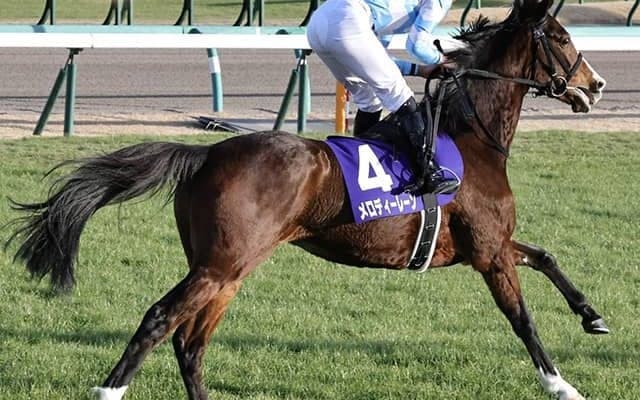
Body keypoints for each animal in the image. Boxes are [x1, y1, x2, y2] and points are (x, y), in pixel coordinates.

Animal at [6, 0, 608, 399]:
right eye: (559, 37)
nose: (596, 85)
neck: (471, 137)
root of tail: (206, 154)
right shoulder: (487, 252)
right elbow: (522, 319)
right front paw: (562, 385)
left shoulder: (488, 243)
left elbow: (546, 256)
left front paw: (593, 317)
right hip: (220, 263)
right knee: (160, 321)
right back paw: (108, 391)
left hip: (228, 268)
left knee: (190, 344)